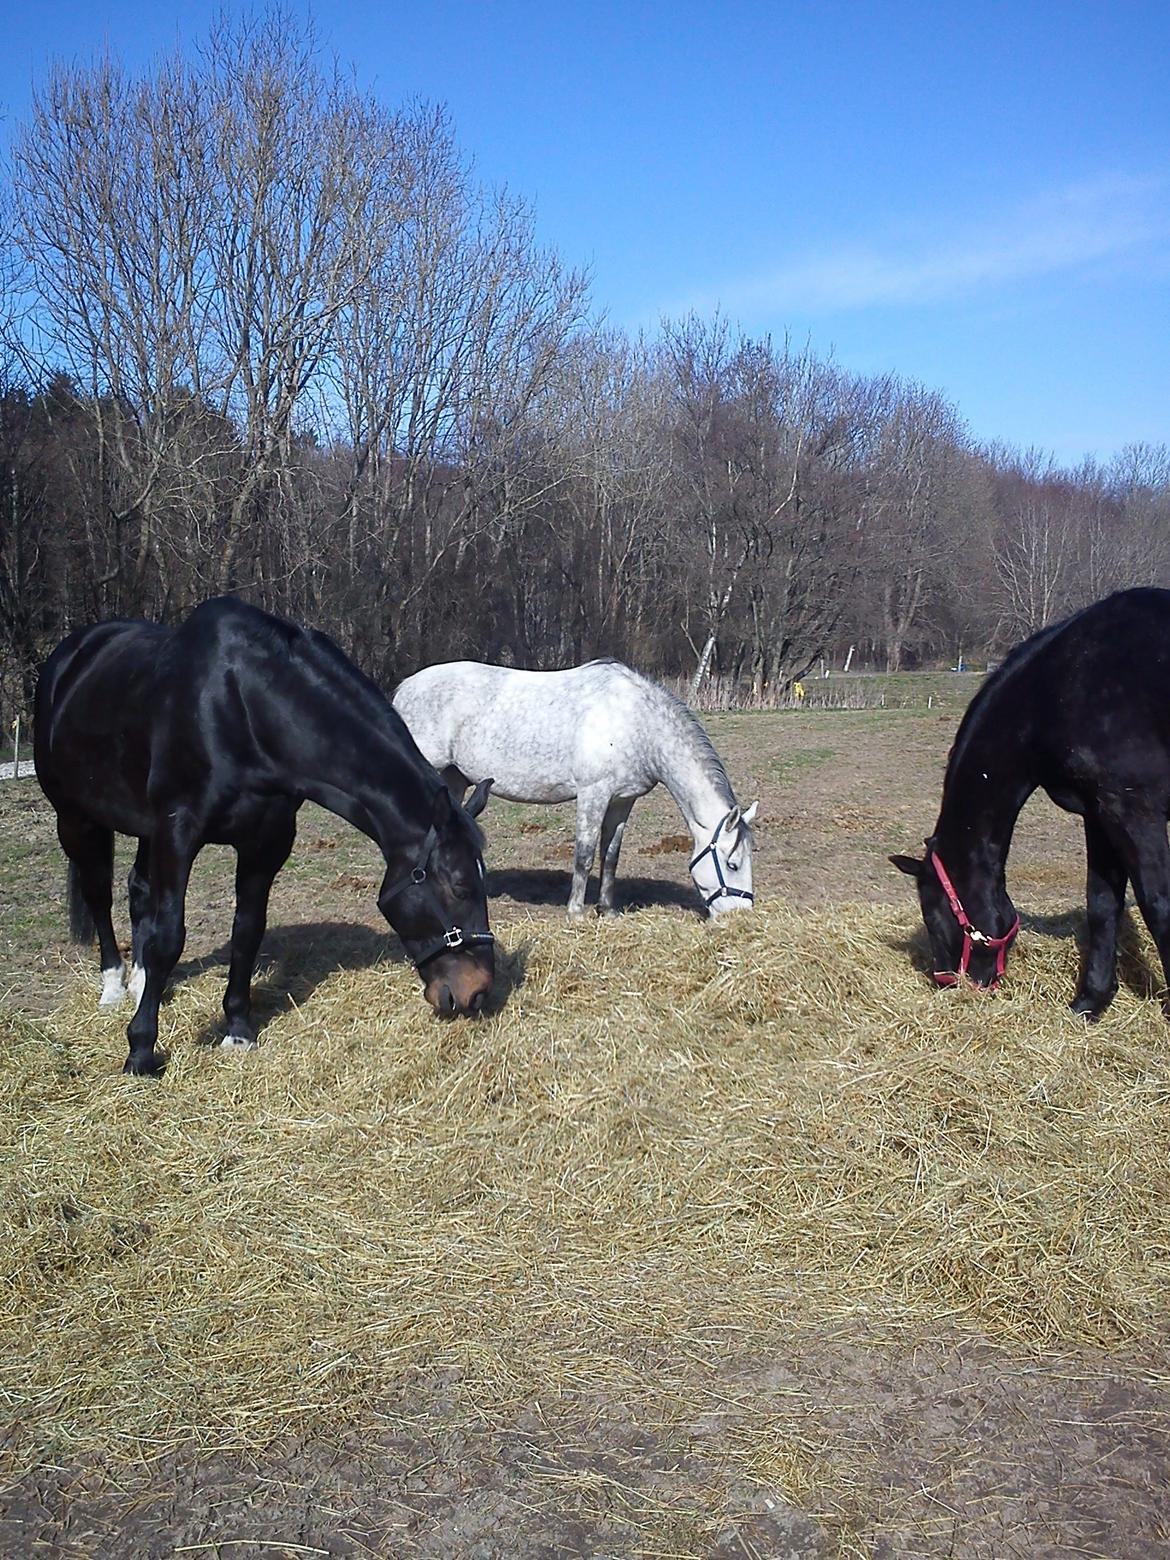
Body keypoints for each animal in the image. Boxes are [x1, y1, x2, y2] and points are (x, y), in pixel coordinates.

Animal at [36, 595, 496, 1073]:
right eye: (460, 886)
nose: (478, 991)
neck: (241, 709)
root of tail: (70, 657)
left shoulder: (265, 841)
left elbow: (247, 931)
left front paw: (238, 1030)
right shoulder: (178, 831)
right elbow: (169, 937)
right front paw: (140, 1050)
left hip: (146, 829)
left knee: (139, 888)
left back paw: (143, 980)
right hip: (77, 819)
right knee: (98, 894)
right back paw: (113, 985)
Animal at [394, 655, 761, 911]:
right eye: (733, 863)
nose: (740, 916)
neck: (637, 722)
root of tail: (404, 688)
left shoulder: (621, 801)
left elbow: (610, 856)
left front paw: (607, 909)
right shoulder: (592, 794)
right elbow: (584, 855)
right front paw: (576, 912)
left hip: (453, 778)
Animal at [898, 586, 1170, 1010]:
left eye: (932, 916)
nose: (946, 983)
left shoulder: (1136, 812)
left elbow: (1158, 907)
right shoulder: (1099, 813)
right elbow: (1102, 903)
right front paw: (1091, 1001)